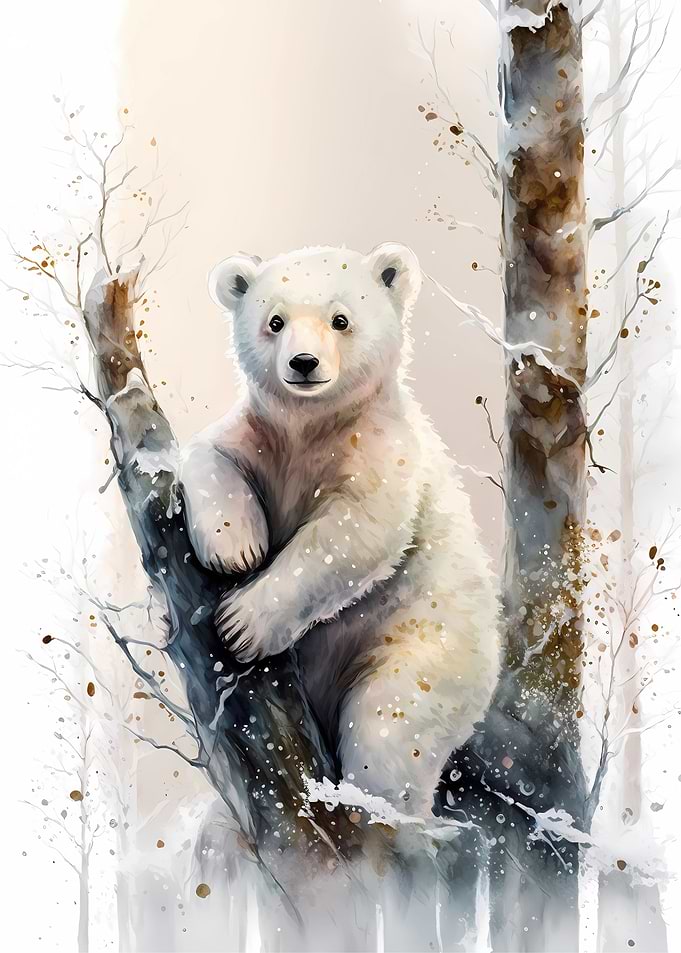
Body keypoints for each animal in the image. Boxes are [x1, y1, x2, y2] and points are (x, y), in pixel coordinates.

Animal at [179, 243, 500, 817]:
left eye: (340, 319)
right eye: (275, 321)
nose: (303, 363)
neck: (312, 425)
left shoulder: (379, 450)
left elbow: (354, 533)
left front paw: (241, 623)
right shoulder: (261, 436)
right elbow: (208, 453)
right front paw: (235, 547)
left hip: (428, 643)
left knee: (388, 723)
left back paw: (370, 801)